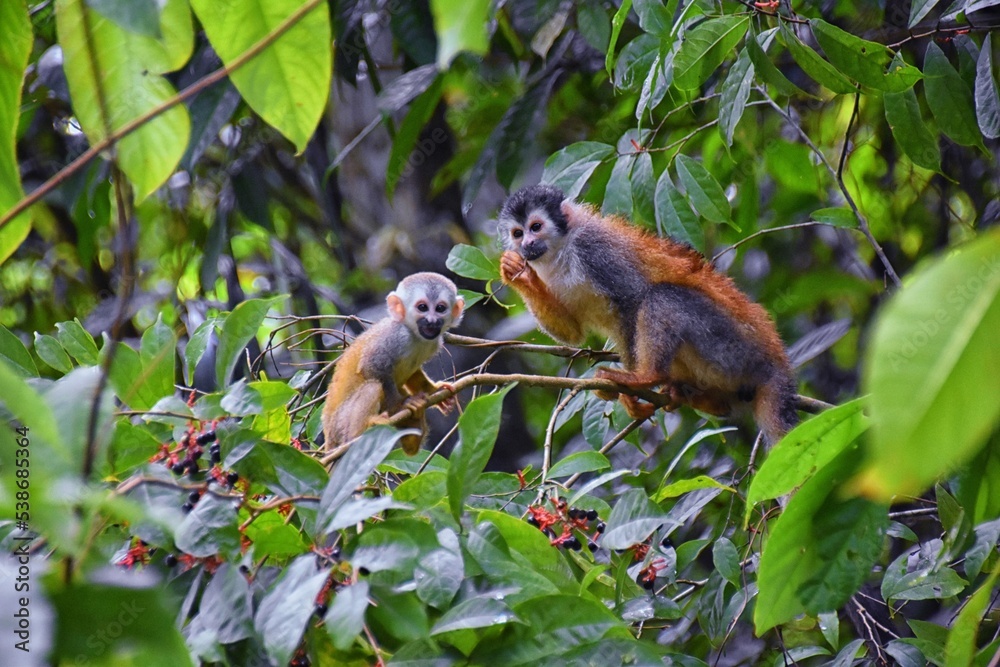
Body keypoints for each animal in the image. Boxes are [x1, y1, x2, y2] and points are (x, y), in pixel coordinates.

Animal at [322, 272, 464, 459]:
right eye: (422, 307)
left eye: (440, 308)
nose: (432, 321)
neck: (414, 334)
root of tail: (329, 438)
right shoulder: (396, 336)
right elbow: (371, 366)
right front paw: (400, 405)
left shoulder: (434, 341)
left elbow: (414, 374)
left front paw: (433, 390)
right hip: (340, 424)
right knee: (373, 386)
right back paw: (365, 428)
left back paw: (412, 437)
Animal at [497, 184, 798, 444]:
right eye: (517, 233)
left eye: (536, 227)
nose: (527, 244)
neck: (561, 251)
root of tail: (774, 363)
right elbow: (571, 333)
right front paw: (519, 275)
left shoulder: (593, 249)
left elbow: (633, 300)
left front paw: (632, 388)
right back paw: (703, 399)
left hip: (731, 350)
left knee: (661, 297)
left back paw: (648, 376)